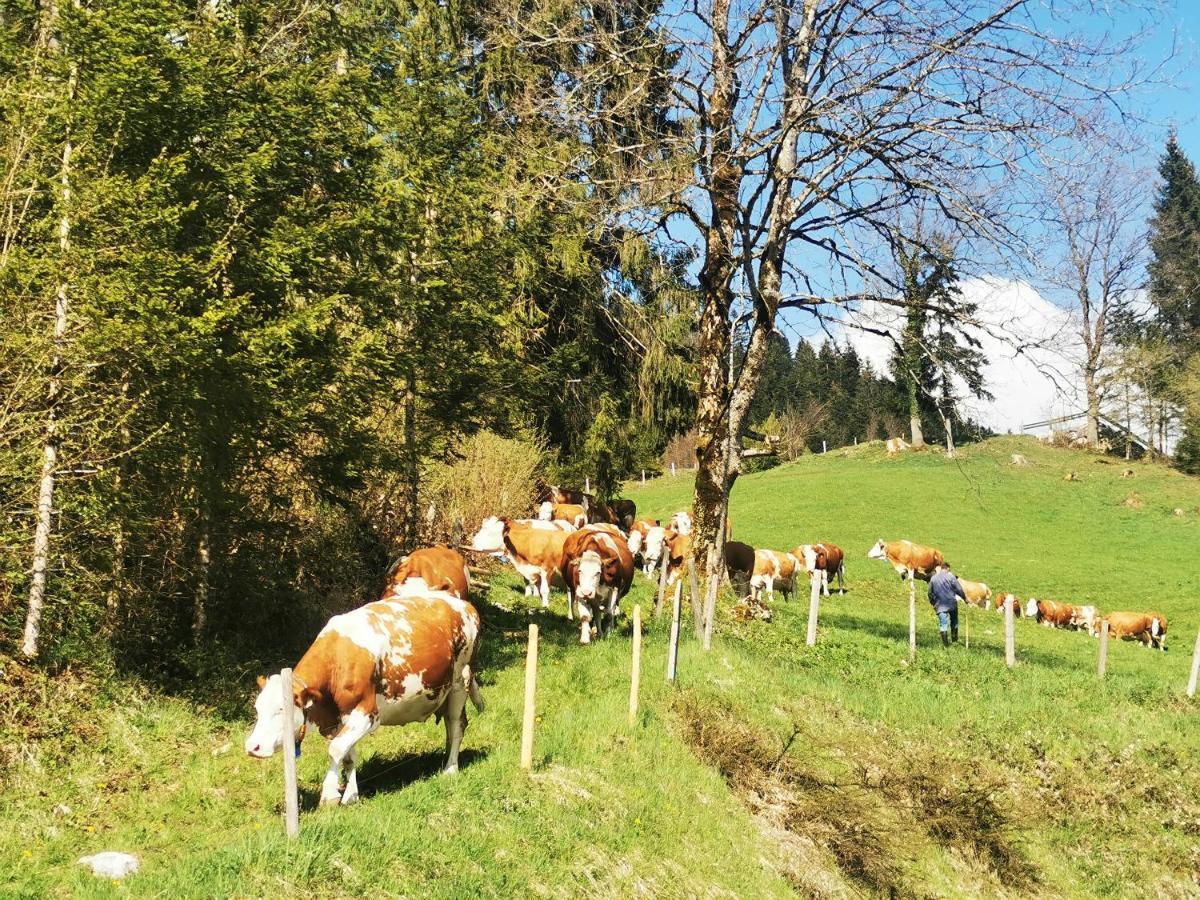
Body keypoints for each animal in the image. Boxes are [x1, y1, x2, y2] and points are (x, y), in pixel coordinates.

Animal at [243, 592, 482, 811]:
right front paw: (351, 795)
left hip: (460, 680)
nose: (252, 747)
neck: (337, 661)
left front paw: (330, 795)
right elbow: (348, 755)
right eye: (257, 709)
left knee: (456, 724)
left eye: (281, 709)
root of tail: (463, 604)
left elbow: (336, 749)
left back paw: (450, 768)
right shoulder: (341, 718)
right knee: (451, 726)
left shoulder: (367, 713)